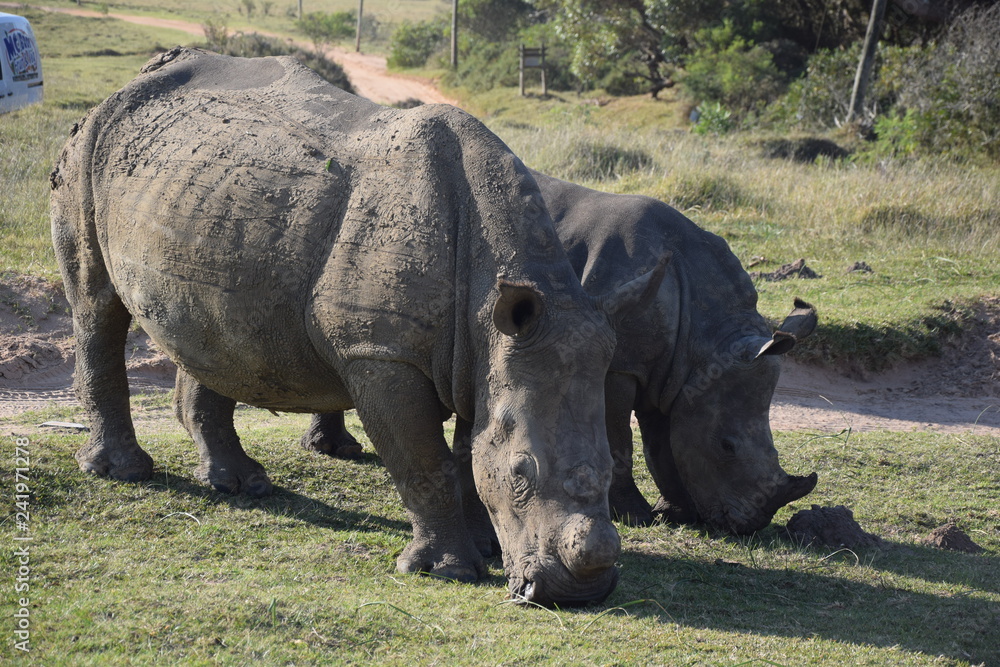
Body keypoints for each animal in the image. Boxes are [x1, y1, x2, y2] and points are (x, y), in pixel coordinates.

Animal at [50, 47, 666, 607]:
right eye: (521, 473)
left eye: (610, 468)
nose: (579, 594)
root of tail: (125, 86)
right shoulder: (379, 351)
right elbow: (425, 461)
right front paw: (446, 571)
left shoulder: (489, 349)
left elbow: (469, 450)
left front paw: (489, 548)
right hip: (86, 151)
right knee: (97, 303)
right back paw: (123, 473)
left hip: (203, 191)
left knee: (208, 321)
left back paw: (241, 484)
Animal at [307, 171, 818, 536]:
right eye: (727, 447)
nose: (749, 527)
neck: (707, 327)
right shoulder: (621, 366)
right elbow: (619, 438)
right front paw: (636, 516)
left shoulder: (675, 373)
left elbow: (662, 439)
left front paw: (677, 512)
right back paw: (334, 450)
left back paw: (335, 450)